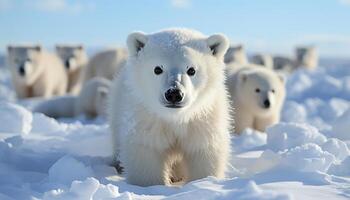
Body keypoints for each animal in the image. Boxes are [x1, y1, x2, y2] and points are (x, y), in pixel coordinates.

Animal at [108, 28, 231, 186]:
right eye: (157, 69)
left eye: (191, 70)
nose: (174, 93)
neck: (175, 117)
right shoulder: (146, 119)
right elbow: (146, 152)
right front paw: (150, 185)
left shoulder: (203, 120)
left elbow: (203, 151)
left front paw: (203, 182)